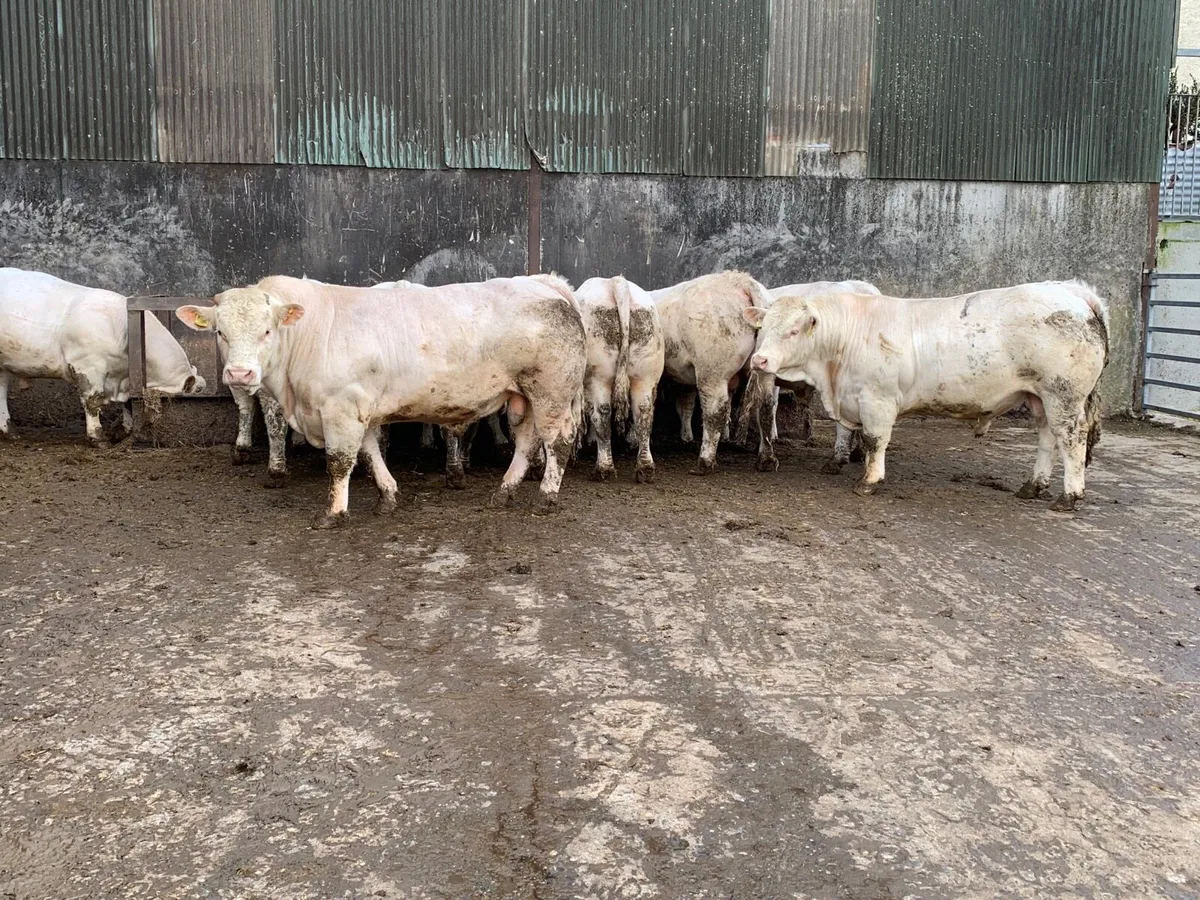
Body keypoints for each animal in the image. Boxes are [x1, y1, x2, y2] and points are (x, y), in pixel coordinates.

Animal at [1, 268, 206, 445]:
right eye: (196, 392)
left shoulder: (126, 376)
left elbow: (128, 403)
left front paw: (123, 430)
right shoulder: (88, 367)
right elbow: (92, 401)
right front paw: (98, 437)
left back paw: (9, 431)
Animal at [177, 274, 585, 527]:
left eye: (266, 331)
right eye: (220, 332)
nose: (239, 375)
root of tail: (542, 282)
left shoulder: (340, 409)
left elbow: (340, 462)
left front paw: (333, 513)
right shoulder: (361, 410)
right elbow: (370, 454)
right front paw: (387, 496)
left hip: (551, 391)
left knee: (558, 440)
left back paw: (546, 496)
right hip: (523, 396)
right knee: (528, 441)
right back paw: (504, 491)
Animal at [576, 276, 666, 483]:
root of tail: (616, 283)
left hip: (598, 376)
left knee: (602, 414)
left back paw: (603, 469)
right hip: (645, 374)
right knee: (644, 413)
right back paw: (645, 468)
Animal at [649, 271, 772, 474]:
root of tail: (742, 281)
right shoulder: (683, 376)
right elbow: (685, 405)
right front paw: (686, 438)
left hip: (712, 370)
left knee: (715, 410)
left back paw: (705, 461)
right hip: (766, 368)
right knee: (766, 406)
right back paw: (766, 459)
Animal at [744, 280, 1109, 512]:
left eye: (793, 330)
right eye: (762, 329)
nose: (759, 360)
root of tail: (1072, 291)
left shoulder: (877, 400)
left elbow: (875, 440)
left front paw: (870, 481)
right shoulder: (849, 397)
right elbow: (846, 431)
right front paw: (836, 462)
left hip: (1063, 395)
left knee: (1072, 440)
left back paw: (1069, 497)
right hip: (1040, 398)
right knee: (1048, 438)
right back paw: (1033, 486)